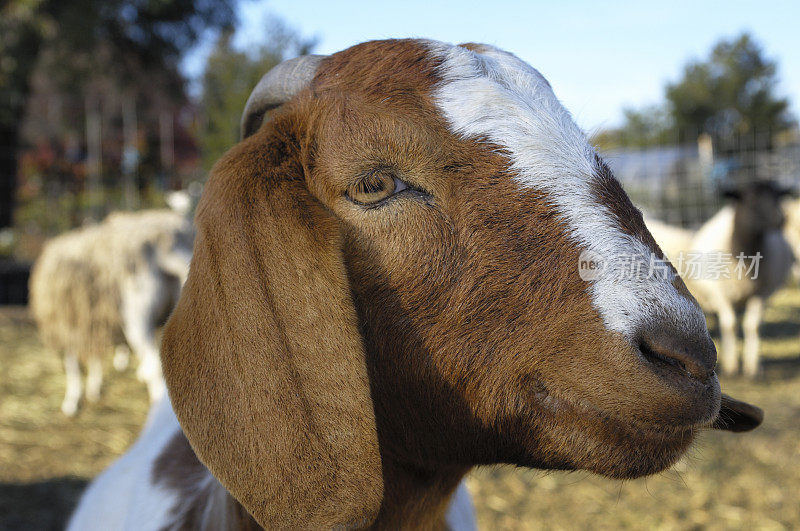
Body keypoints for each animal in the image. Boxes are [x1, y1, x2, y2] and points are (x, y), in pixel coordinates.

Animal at [30, 208, 194, 416]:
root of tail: (168, 245)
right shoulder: (92, 323)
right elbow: (95, 359)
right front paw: (94, 389)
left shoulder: (69, 327)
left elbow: (73, 367)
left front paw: (72, 402)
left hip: (137, 318)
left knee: (155, 368)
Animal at [648, 183, 792, 378]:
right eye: (751, 200)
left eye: (778, 196)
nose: (781, 219)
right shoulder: (721, 295)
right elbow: (730, 326)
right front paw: (732, 367)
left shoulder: (761, 294)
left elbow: (752, 326)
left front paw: (753, 368)